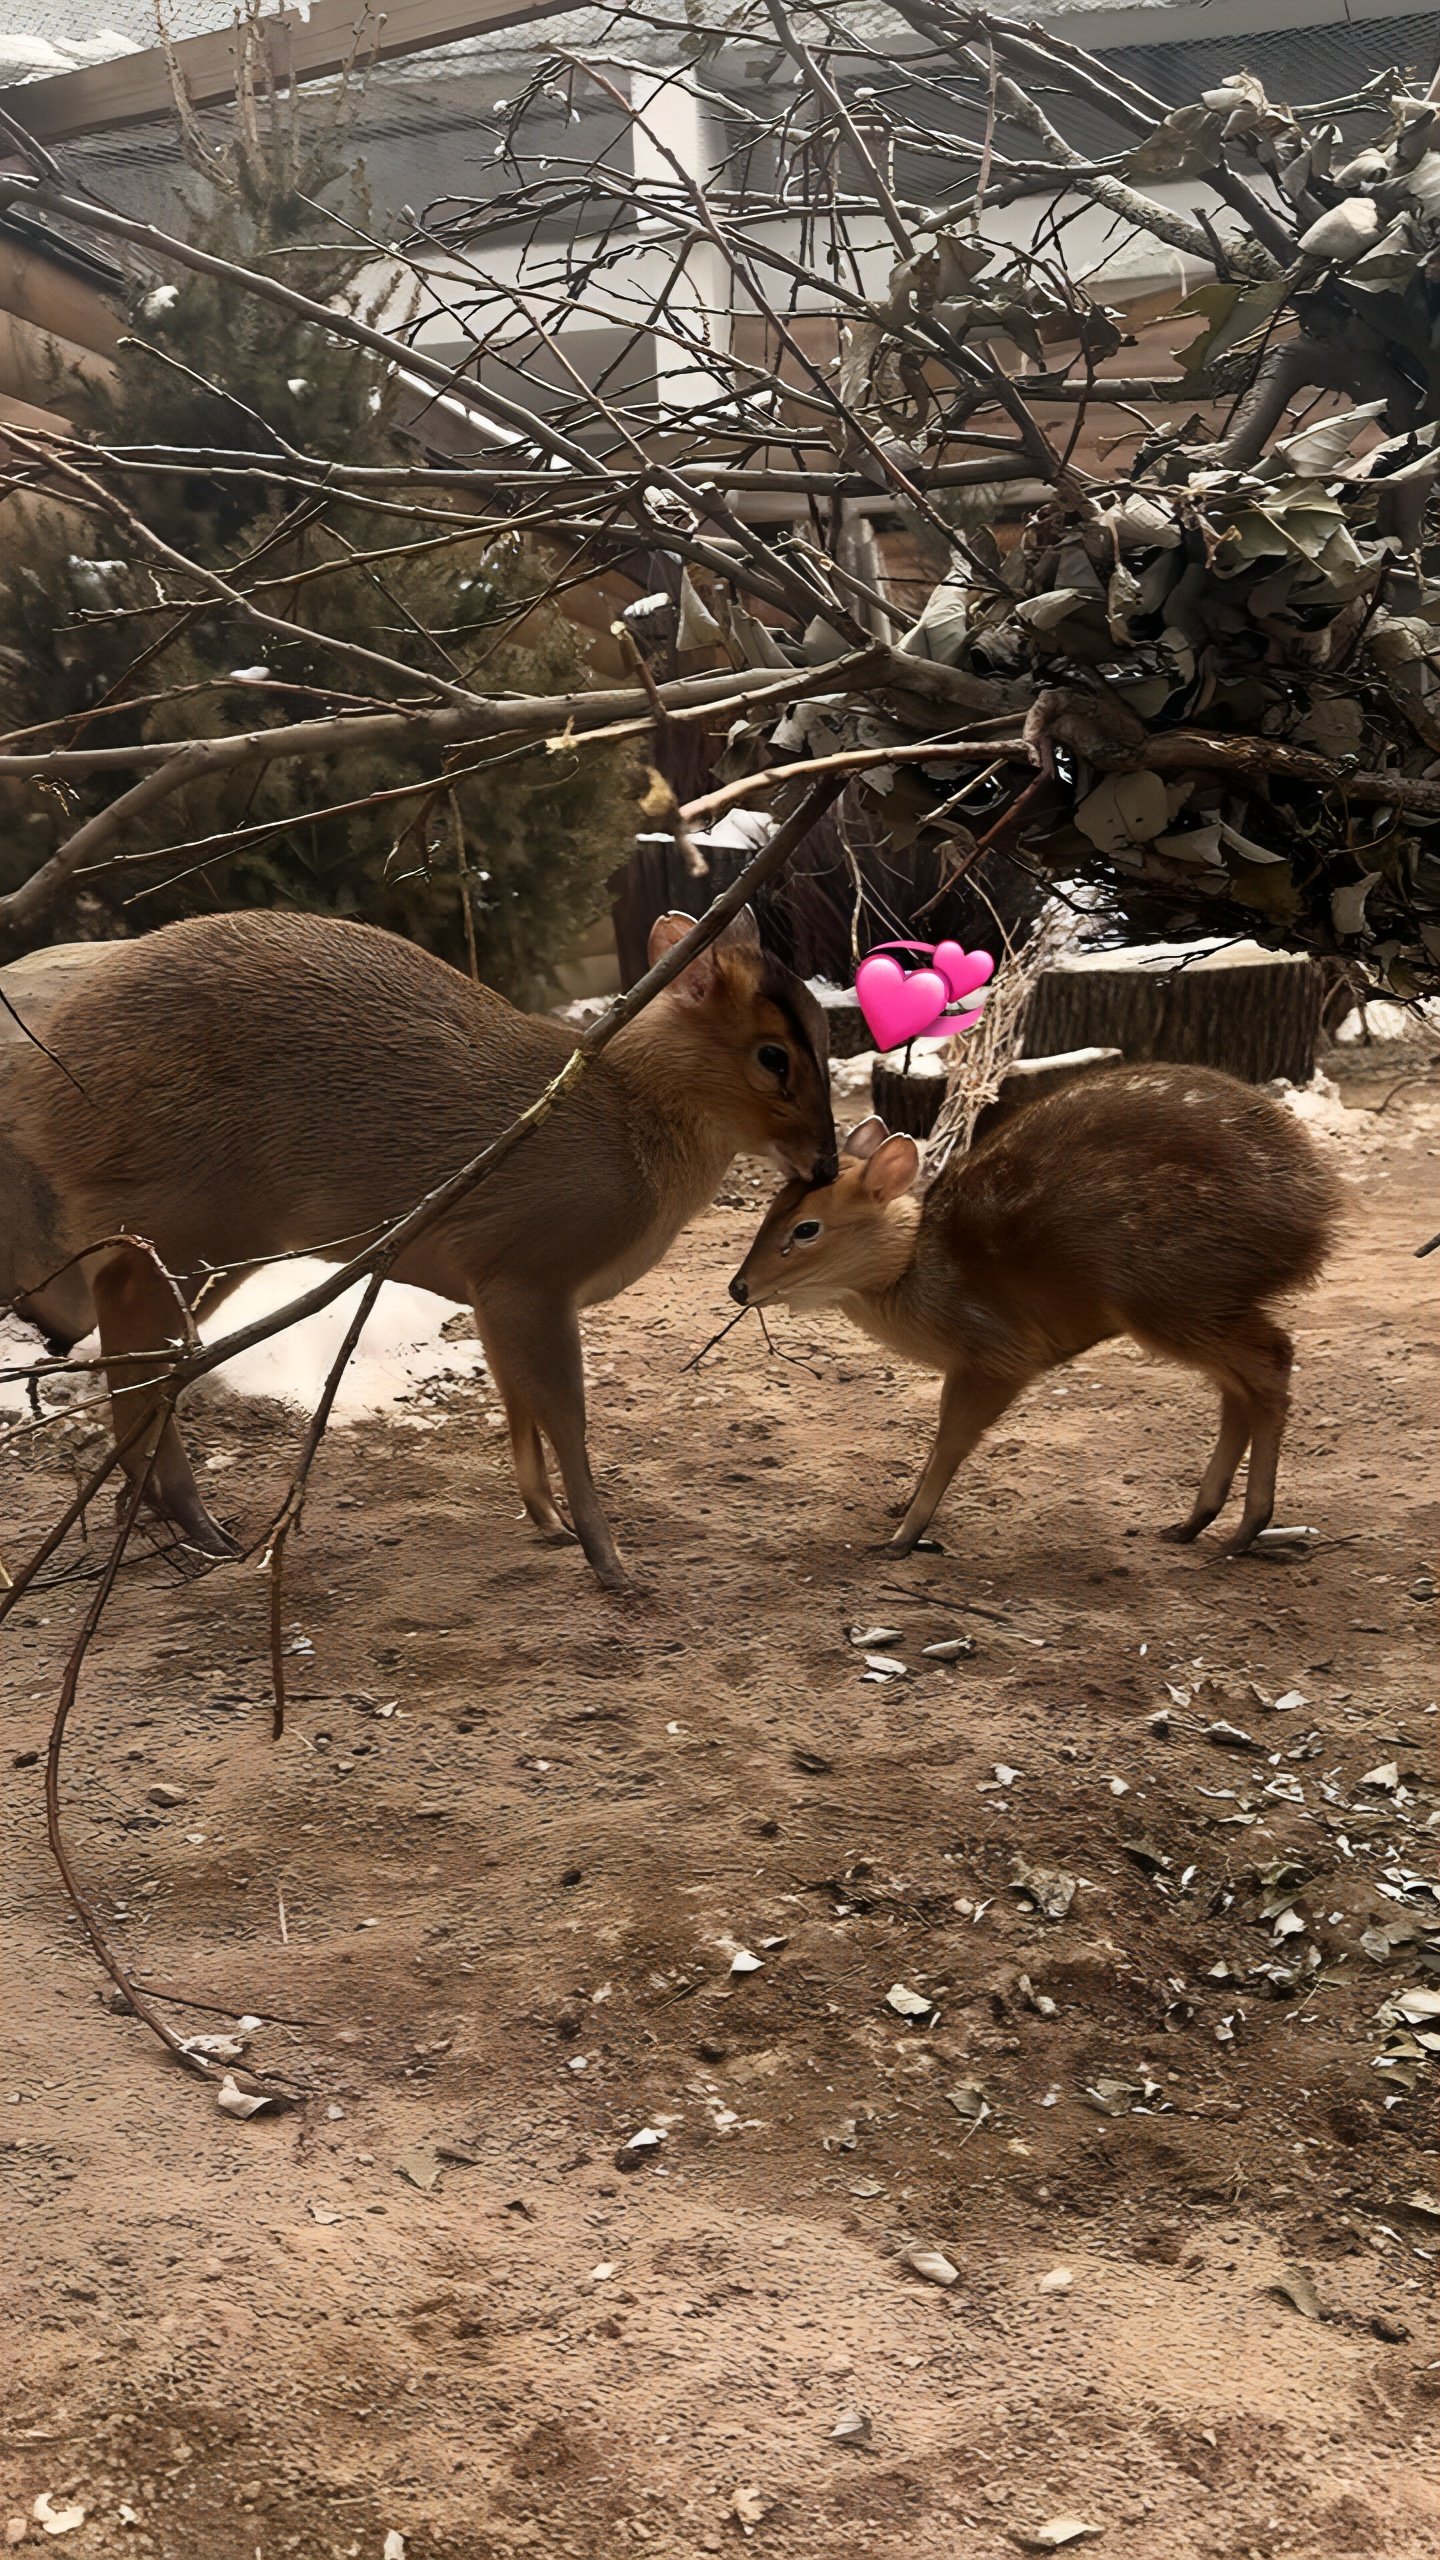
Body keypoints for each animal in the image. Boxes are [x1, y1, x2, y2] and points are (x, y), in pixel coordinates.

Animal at [2, 901, 830, 1576]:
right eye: (773, 1055)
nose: (824, 1164)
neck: (627, 1118)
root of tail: (40, 1096)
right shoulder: (529, 1272)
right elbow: (563, 1414)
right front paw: (610, 1559)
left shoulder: (492, 1287)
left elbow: (516, 1405)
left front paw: (548, 1522)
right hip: (185, 1209)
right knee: (125, 1323)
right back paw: (188, 1519)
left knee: (144, 1342)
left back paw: (158, 1514)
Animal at [722, 1064, 1342, 1556]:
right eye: (773, 1206)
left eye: (807, 1229)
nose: (739, 1288)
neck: (918, 1271)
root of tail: (1319, 1209)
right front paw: (901, 1508)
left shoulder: (996, 1356)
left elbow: (950, 1442)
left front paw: (903, 1537)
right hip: (1200, 1305)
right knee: (1240, 1388)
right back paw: (1194, 1523)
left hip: (1172, 1295)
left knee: (1270, 1362)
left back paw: (1245, 1528)